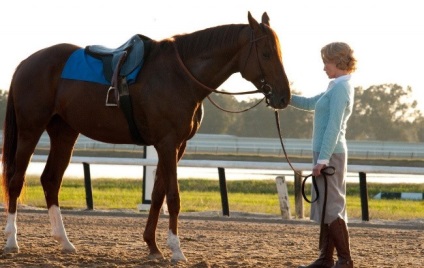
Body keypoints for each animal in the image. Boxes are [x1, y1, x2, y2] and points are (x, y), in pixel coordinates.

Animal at [0, 12, 292, 262]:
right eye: (266, 53)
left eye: (279, 52)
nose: (284, 97)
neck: (181, 76)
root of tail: (27, 62)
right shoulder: (167, 144)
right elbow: (172, 197)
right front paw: (176, 250)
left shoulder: (175, 146)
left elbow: (158, 194)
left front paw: (153, 246)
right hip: (30, 131)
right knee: (16, 181)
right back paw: (12, 241)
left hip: (64, 133)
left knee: (51, 180)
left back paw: (64, 242)